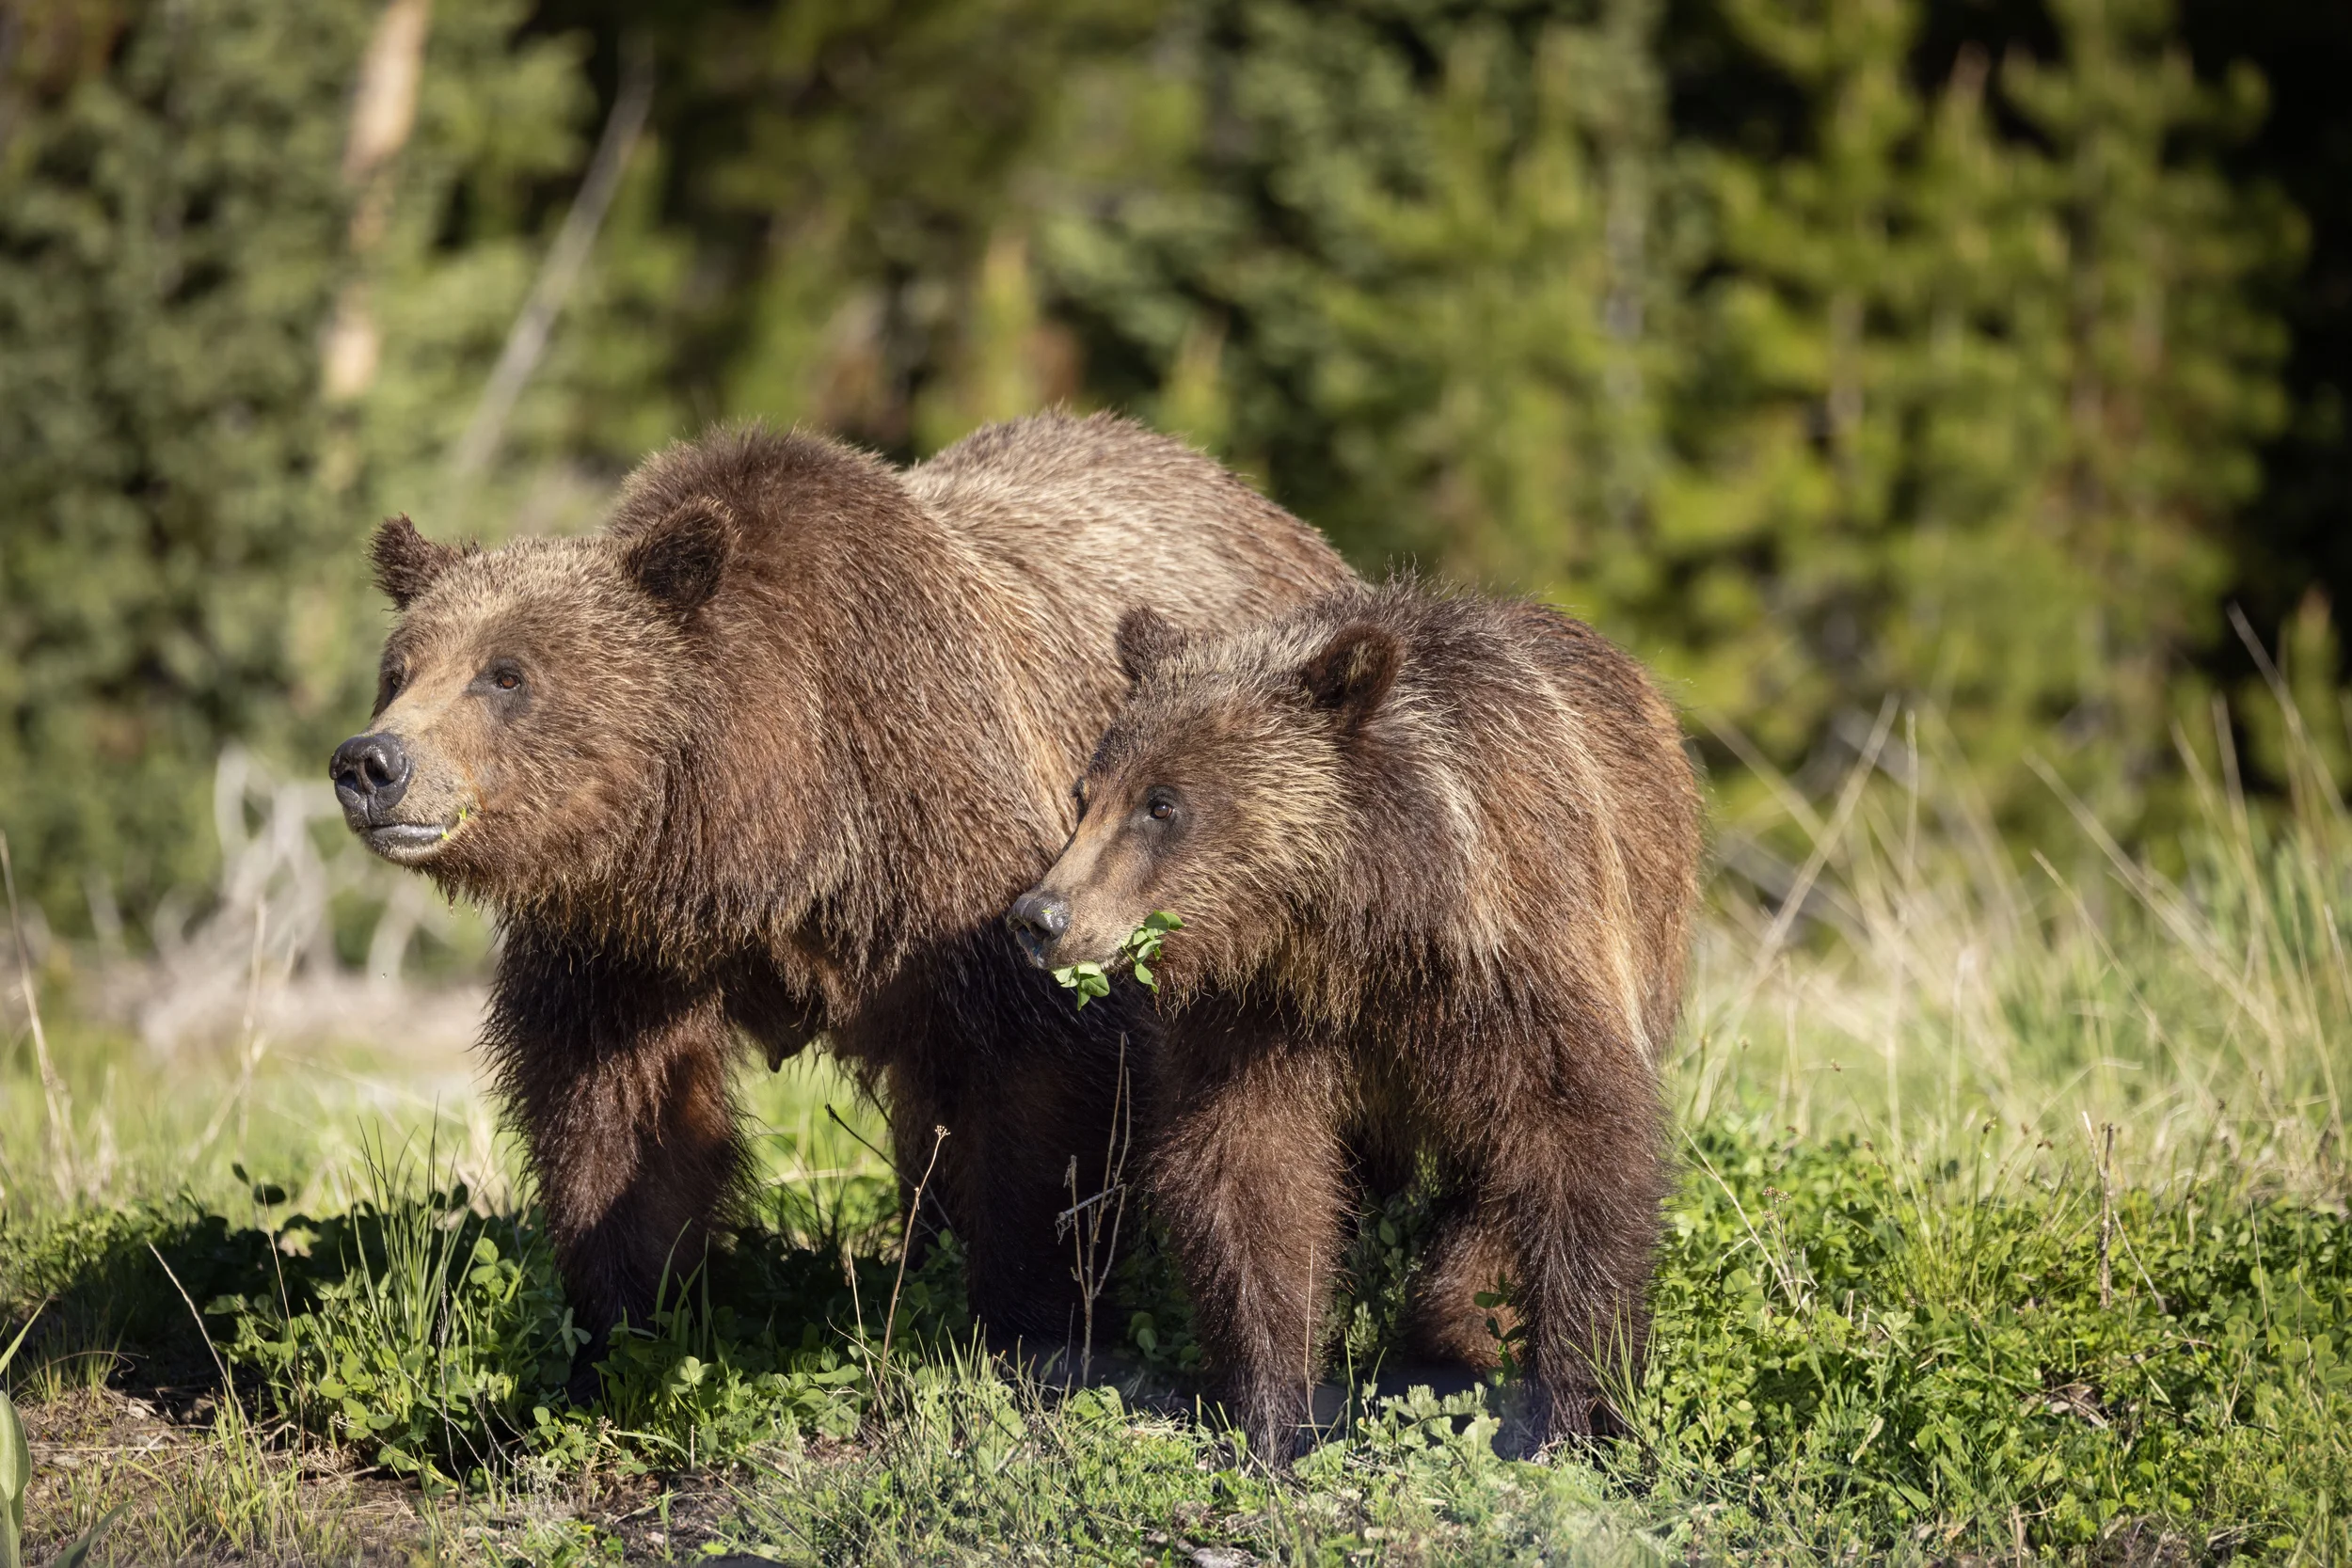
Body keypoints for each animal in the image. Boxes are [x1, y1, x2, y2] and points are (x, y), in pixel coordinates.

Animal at [328, 412, 1354, 1366]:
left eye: (505, 674)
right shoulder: (623, 939)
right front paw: (624, 1323)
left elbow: (1039, 1077)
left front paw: (1031, 1311)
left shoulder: (960, 843)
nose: (370, 762)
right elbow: (617, 1117)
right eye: (399, 669)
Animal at [1007, 579, 1701, 1462]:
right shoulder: (1259, 1014)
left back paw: (1452, 1331)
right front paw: (1273, 1409)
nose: (1041, 916)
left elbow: (1573, 1140)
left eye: (1162, 803)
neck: (1355, 931)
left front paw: (1579, 1408)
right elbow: (1250, 1169)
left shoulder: (1515, 962)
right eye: (1085, 795)